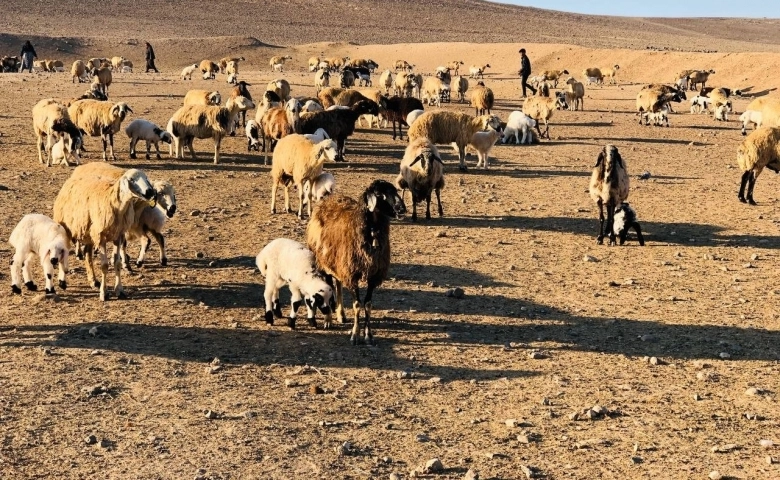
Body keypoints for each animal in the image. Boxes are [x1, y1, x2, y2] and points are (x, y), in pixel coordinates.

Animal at [52, 164, 157, 300]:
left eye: (146, 177)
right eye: (131, 179)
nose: (150, 192)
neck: (114, 202)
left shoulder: (118, 235)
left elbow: (117, 263)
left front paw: (119, 290)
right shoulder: (101, 236)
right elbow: (104, 266)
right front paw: (104, 293)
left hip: (89, 232)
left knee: (87, 254)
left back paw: (93, 281)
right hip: (66, 228)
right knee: (62, 253)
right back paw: (62, 282)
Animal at [304, 178, 406, 344]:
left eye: (395, 191)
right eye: (379, 194)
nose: (402, 208)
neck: (372, 233)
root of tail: (328, 199)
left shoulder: (373, 276)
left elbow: (368, 304)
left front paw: (368, 335)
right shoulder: (352, 274)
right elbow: (357, 305)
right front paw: (355, 335)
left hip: (338, 263)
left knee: (338, 285)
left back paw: (341, 314)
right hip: (324, 263)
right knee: (328, 287)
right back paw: (328, 320)